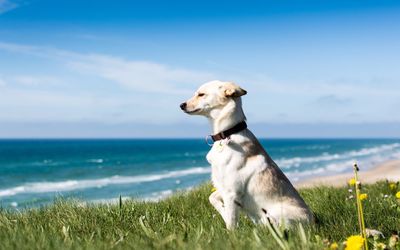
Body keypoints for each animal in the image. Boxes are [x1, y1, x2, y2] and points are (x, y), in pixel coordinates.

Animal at [180, 80, 314, 230]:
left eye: (201, 94)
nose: (181, 105)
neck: (227, 133)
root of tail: (313, 221)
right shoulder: (223, 188)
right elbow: (212, 198)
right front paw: (223, 211)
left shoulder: (231, 192)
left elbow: (231, 223)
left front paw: (230, 232)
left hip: (278, 213)